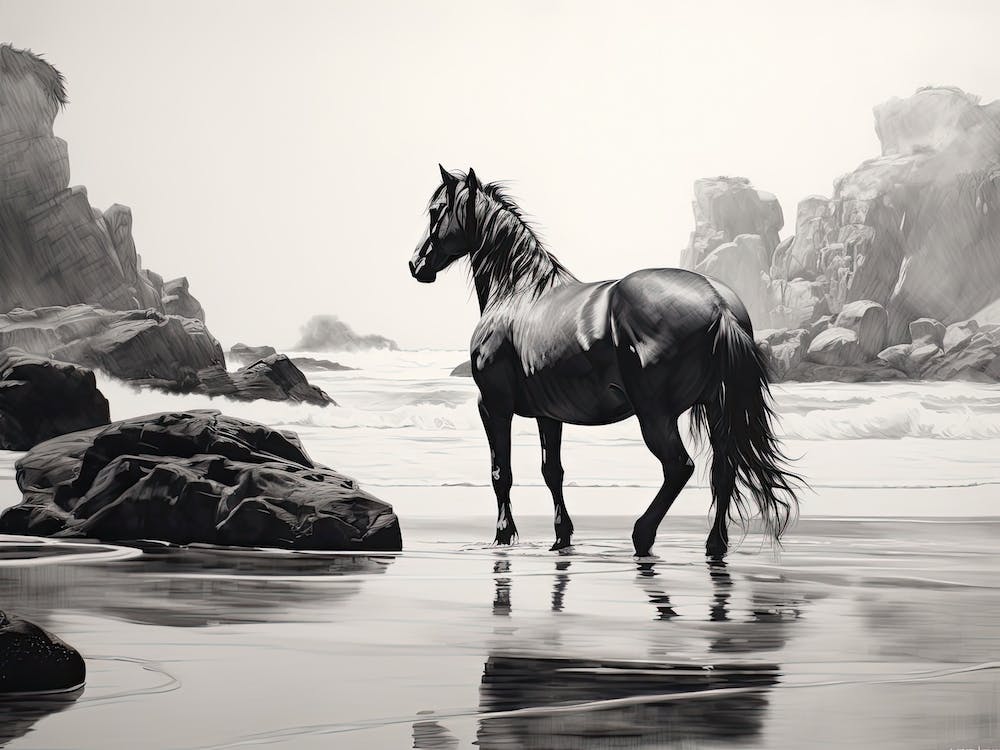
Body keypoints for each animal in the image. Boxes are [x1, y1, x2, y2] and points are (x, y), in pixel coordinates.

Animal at [409, 165, 801, 558]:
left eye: (435, 211)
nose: (416, 264)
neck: (518, 295)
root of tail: (718, 302)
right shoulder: (548, 415)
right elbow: (552, 471)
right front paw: (562, 536)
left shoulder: (493, 405)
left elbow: (500, 472)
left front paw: (503, 535)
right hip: (716, 407)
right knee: (723, 469)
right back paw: (714, 544)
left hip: (655, 414)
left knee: (679, 467)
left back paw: (643, 534)